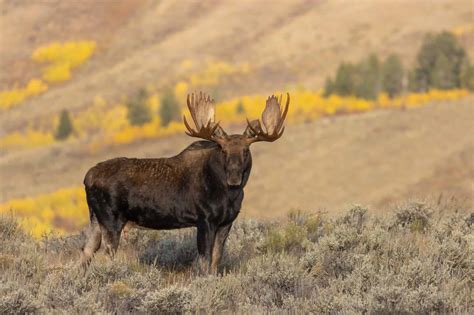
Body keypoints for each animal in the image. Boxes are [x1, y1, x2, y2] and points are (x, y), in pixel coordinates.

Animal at [81, 91, 288, 274]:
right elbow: (205, 260)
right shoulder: (204, 219)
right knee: (106, 254)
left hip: (95, 218)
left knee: (87, 251)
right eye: (223, 150)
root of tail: (87, 178)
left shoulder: (226, 222)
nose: (234, 178)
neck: (230, 195)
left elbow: (216, 258)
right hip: (111, 219)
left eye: (246, 150)